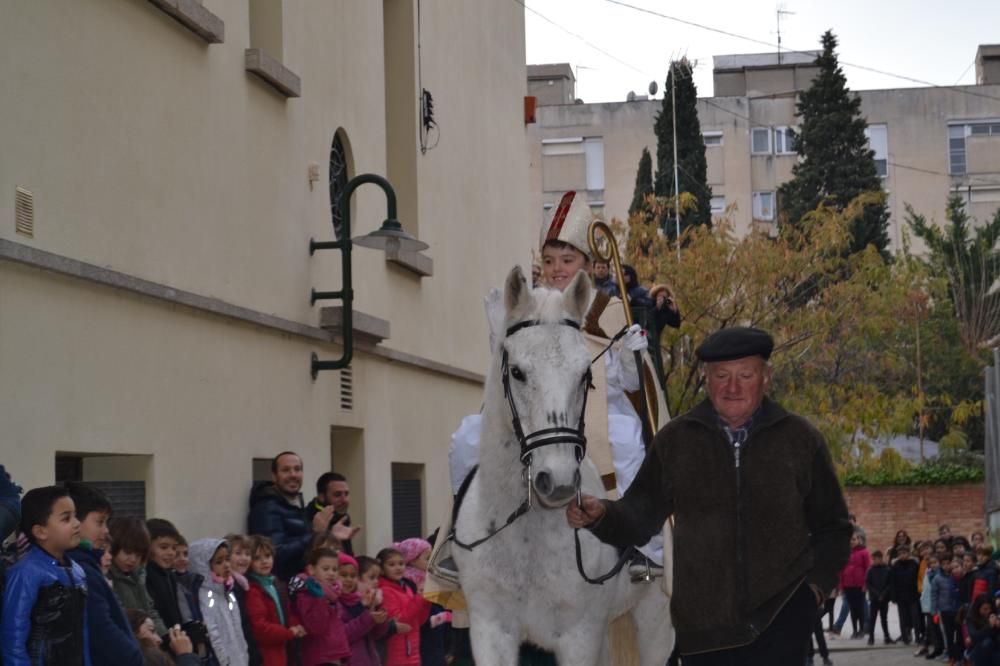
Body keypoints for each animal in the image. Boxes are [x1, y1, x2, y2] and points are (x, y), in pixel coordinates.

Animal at [452, 266, 672, 664]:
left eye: (585, 374)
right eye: (518, 372)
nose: (558, 481)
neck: (525, 533)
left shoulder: (579, 635)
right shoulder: (490, 629)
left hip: (655, 619)